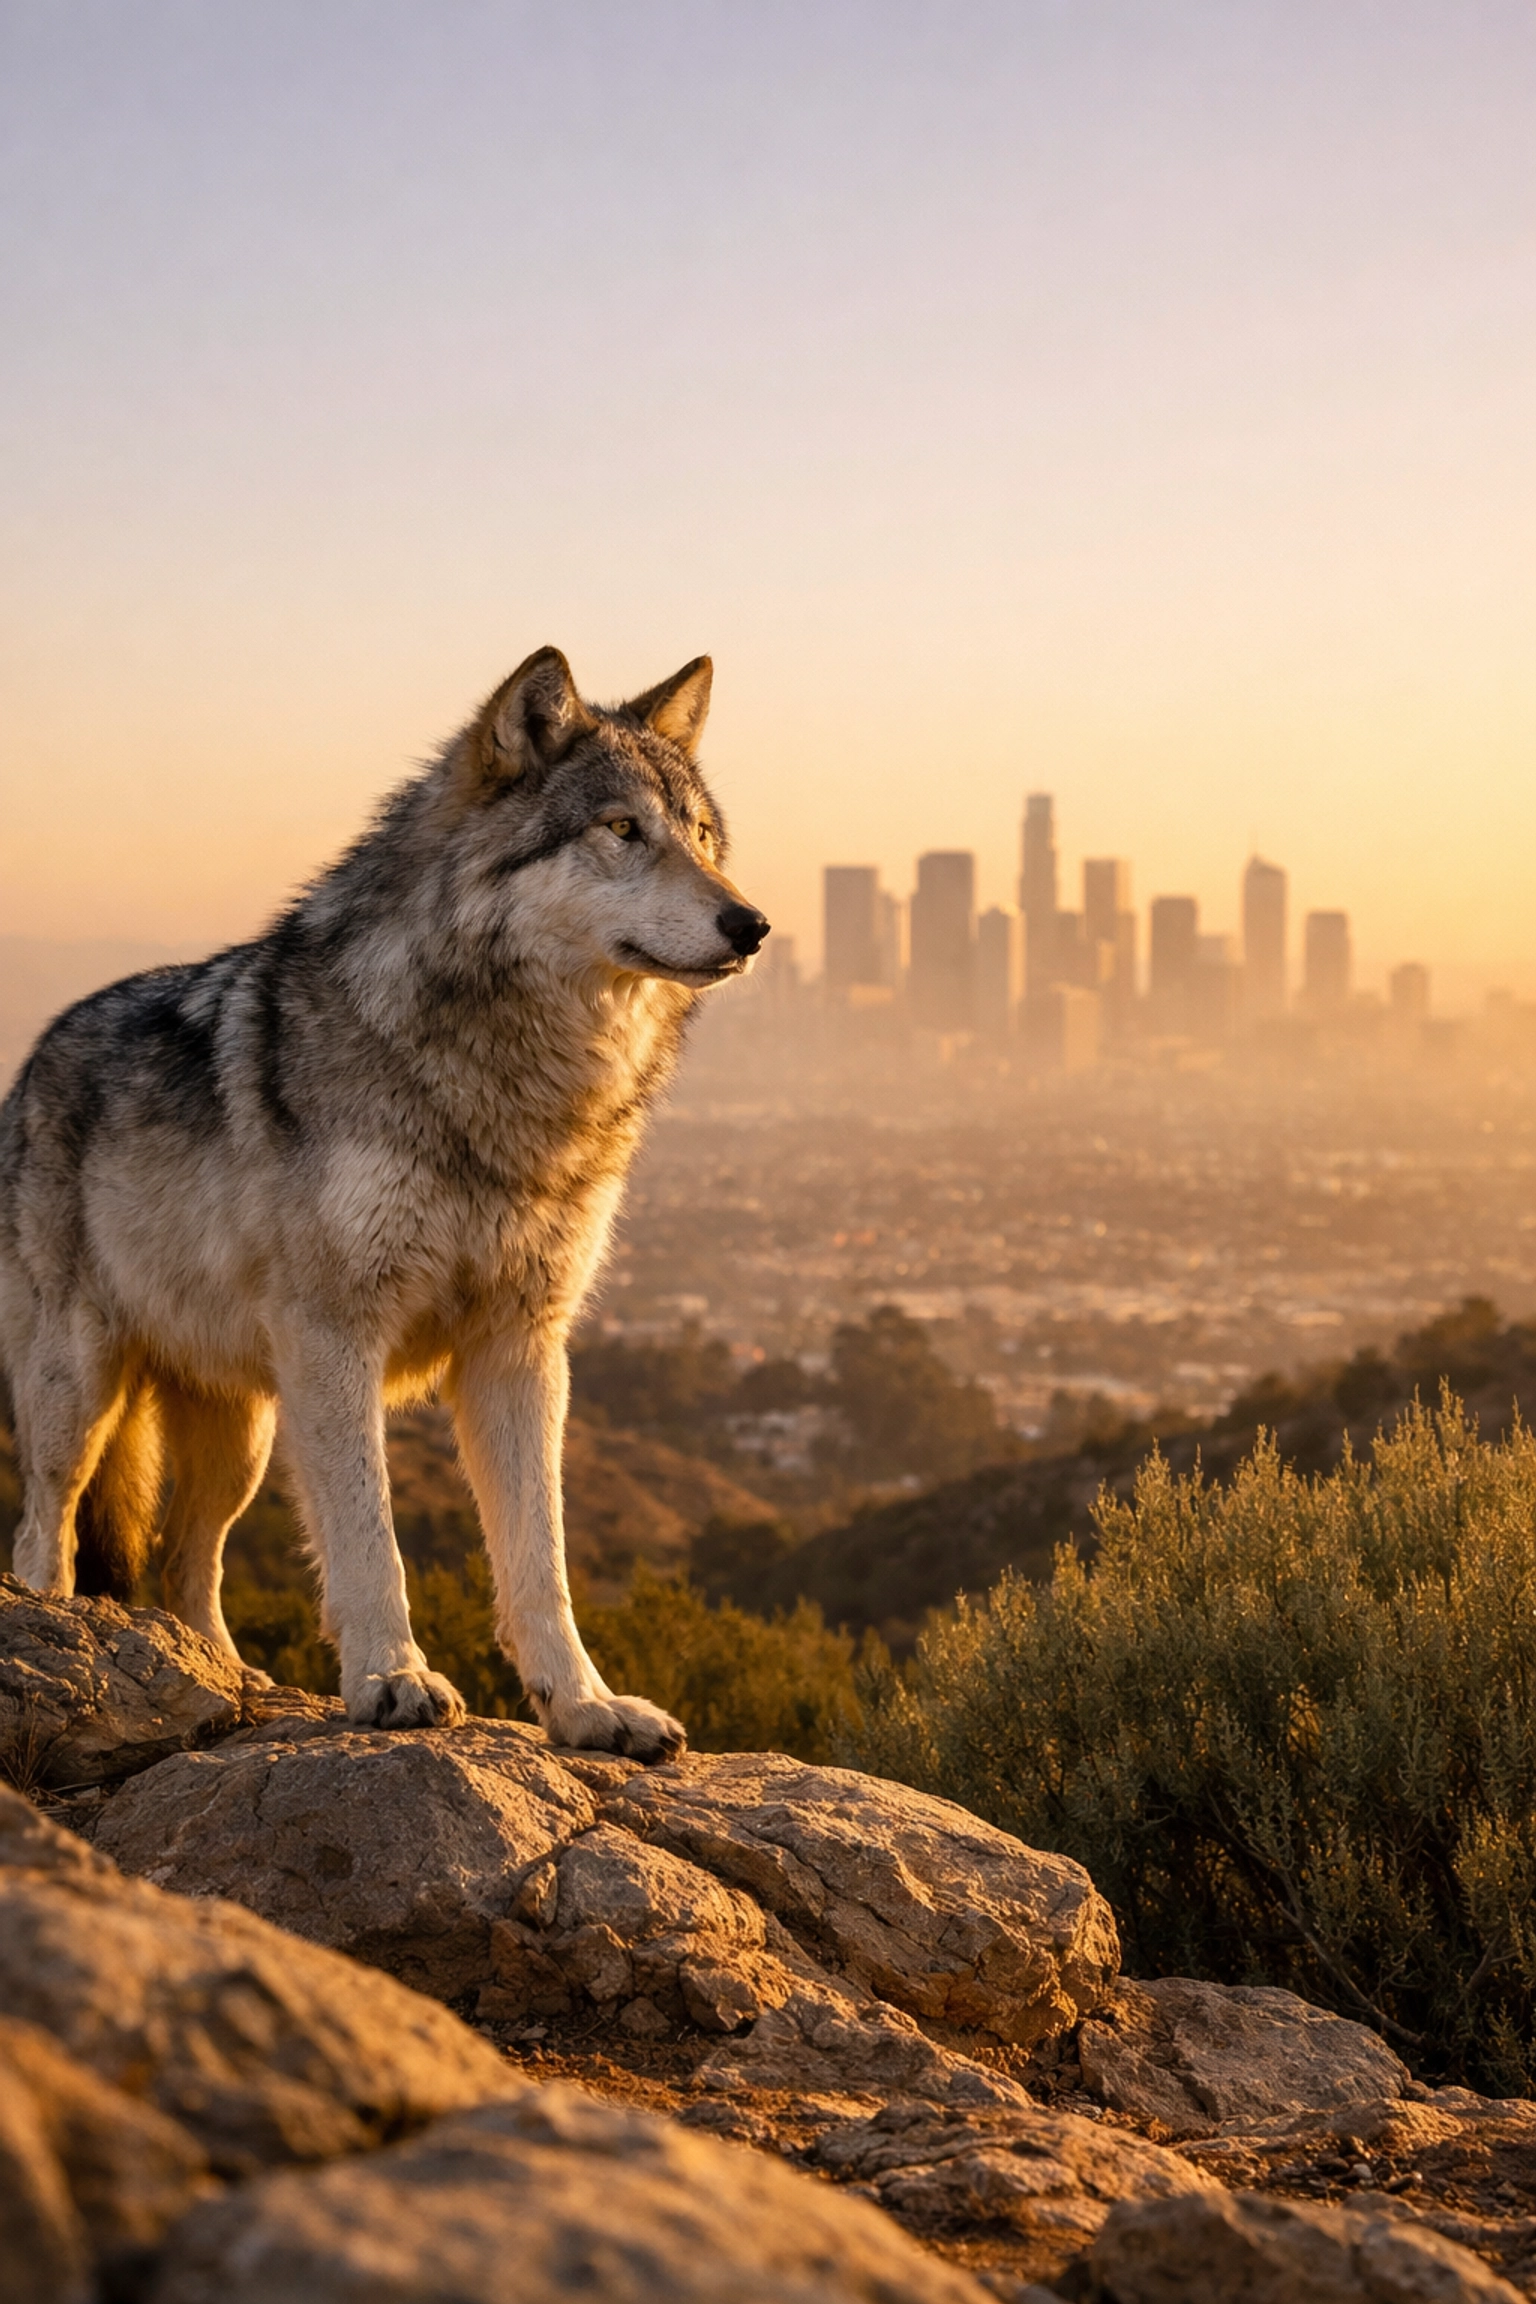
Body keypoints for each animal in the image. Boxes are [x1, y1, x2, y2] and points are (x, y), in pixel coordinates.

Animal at [0, 648, 768, 1755]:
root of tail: (37, 1051)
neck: (507, 1083)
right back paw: (67, 1637)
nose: (752, 925)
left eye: (703, 836)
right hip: (82, 1391)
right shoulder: (337, 1336)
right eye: (623, 830)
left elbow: (541, 1561)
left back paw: (228, 1677)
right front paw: (391, 1681)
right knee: (43, 1531)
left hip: (242, 1439)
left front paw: (586, 1708)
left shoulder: (521, 1349)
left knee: (189, 1562)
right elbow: (371, 1538)